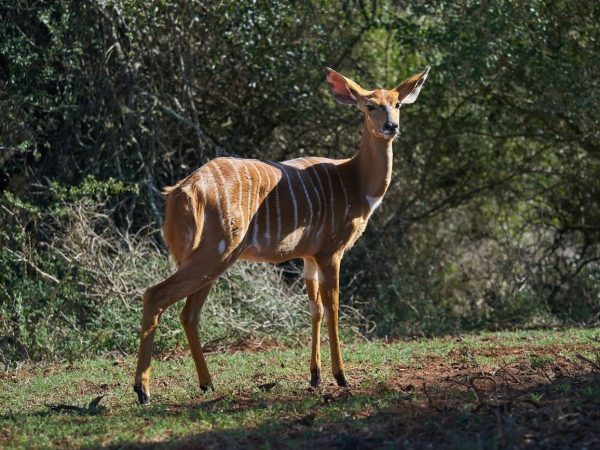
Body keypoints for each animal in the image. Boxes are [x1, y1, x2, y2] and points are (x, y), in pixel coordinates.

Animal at [134, 66, 428, 404]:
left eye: (397, 103)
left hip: (208, 258)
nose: (391, 127)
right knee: (155, 295)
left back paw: (207, 383)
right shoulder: (331, 251)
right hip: (216, 252)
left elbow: (315, 309)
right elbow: (333, 308)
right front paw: (341, 376)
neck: (354, 181)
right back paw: (142, 390)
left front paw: (315, 376)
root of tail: (181, 191)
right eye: (370, 105)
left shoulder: (308, 256)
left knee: (189, 313)